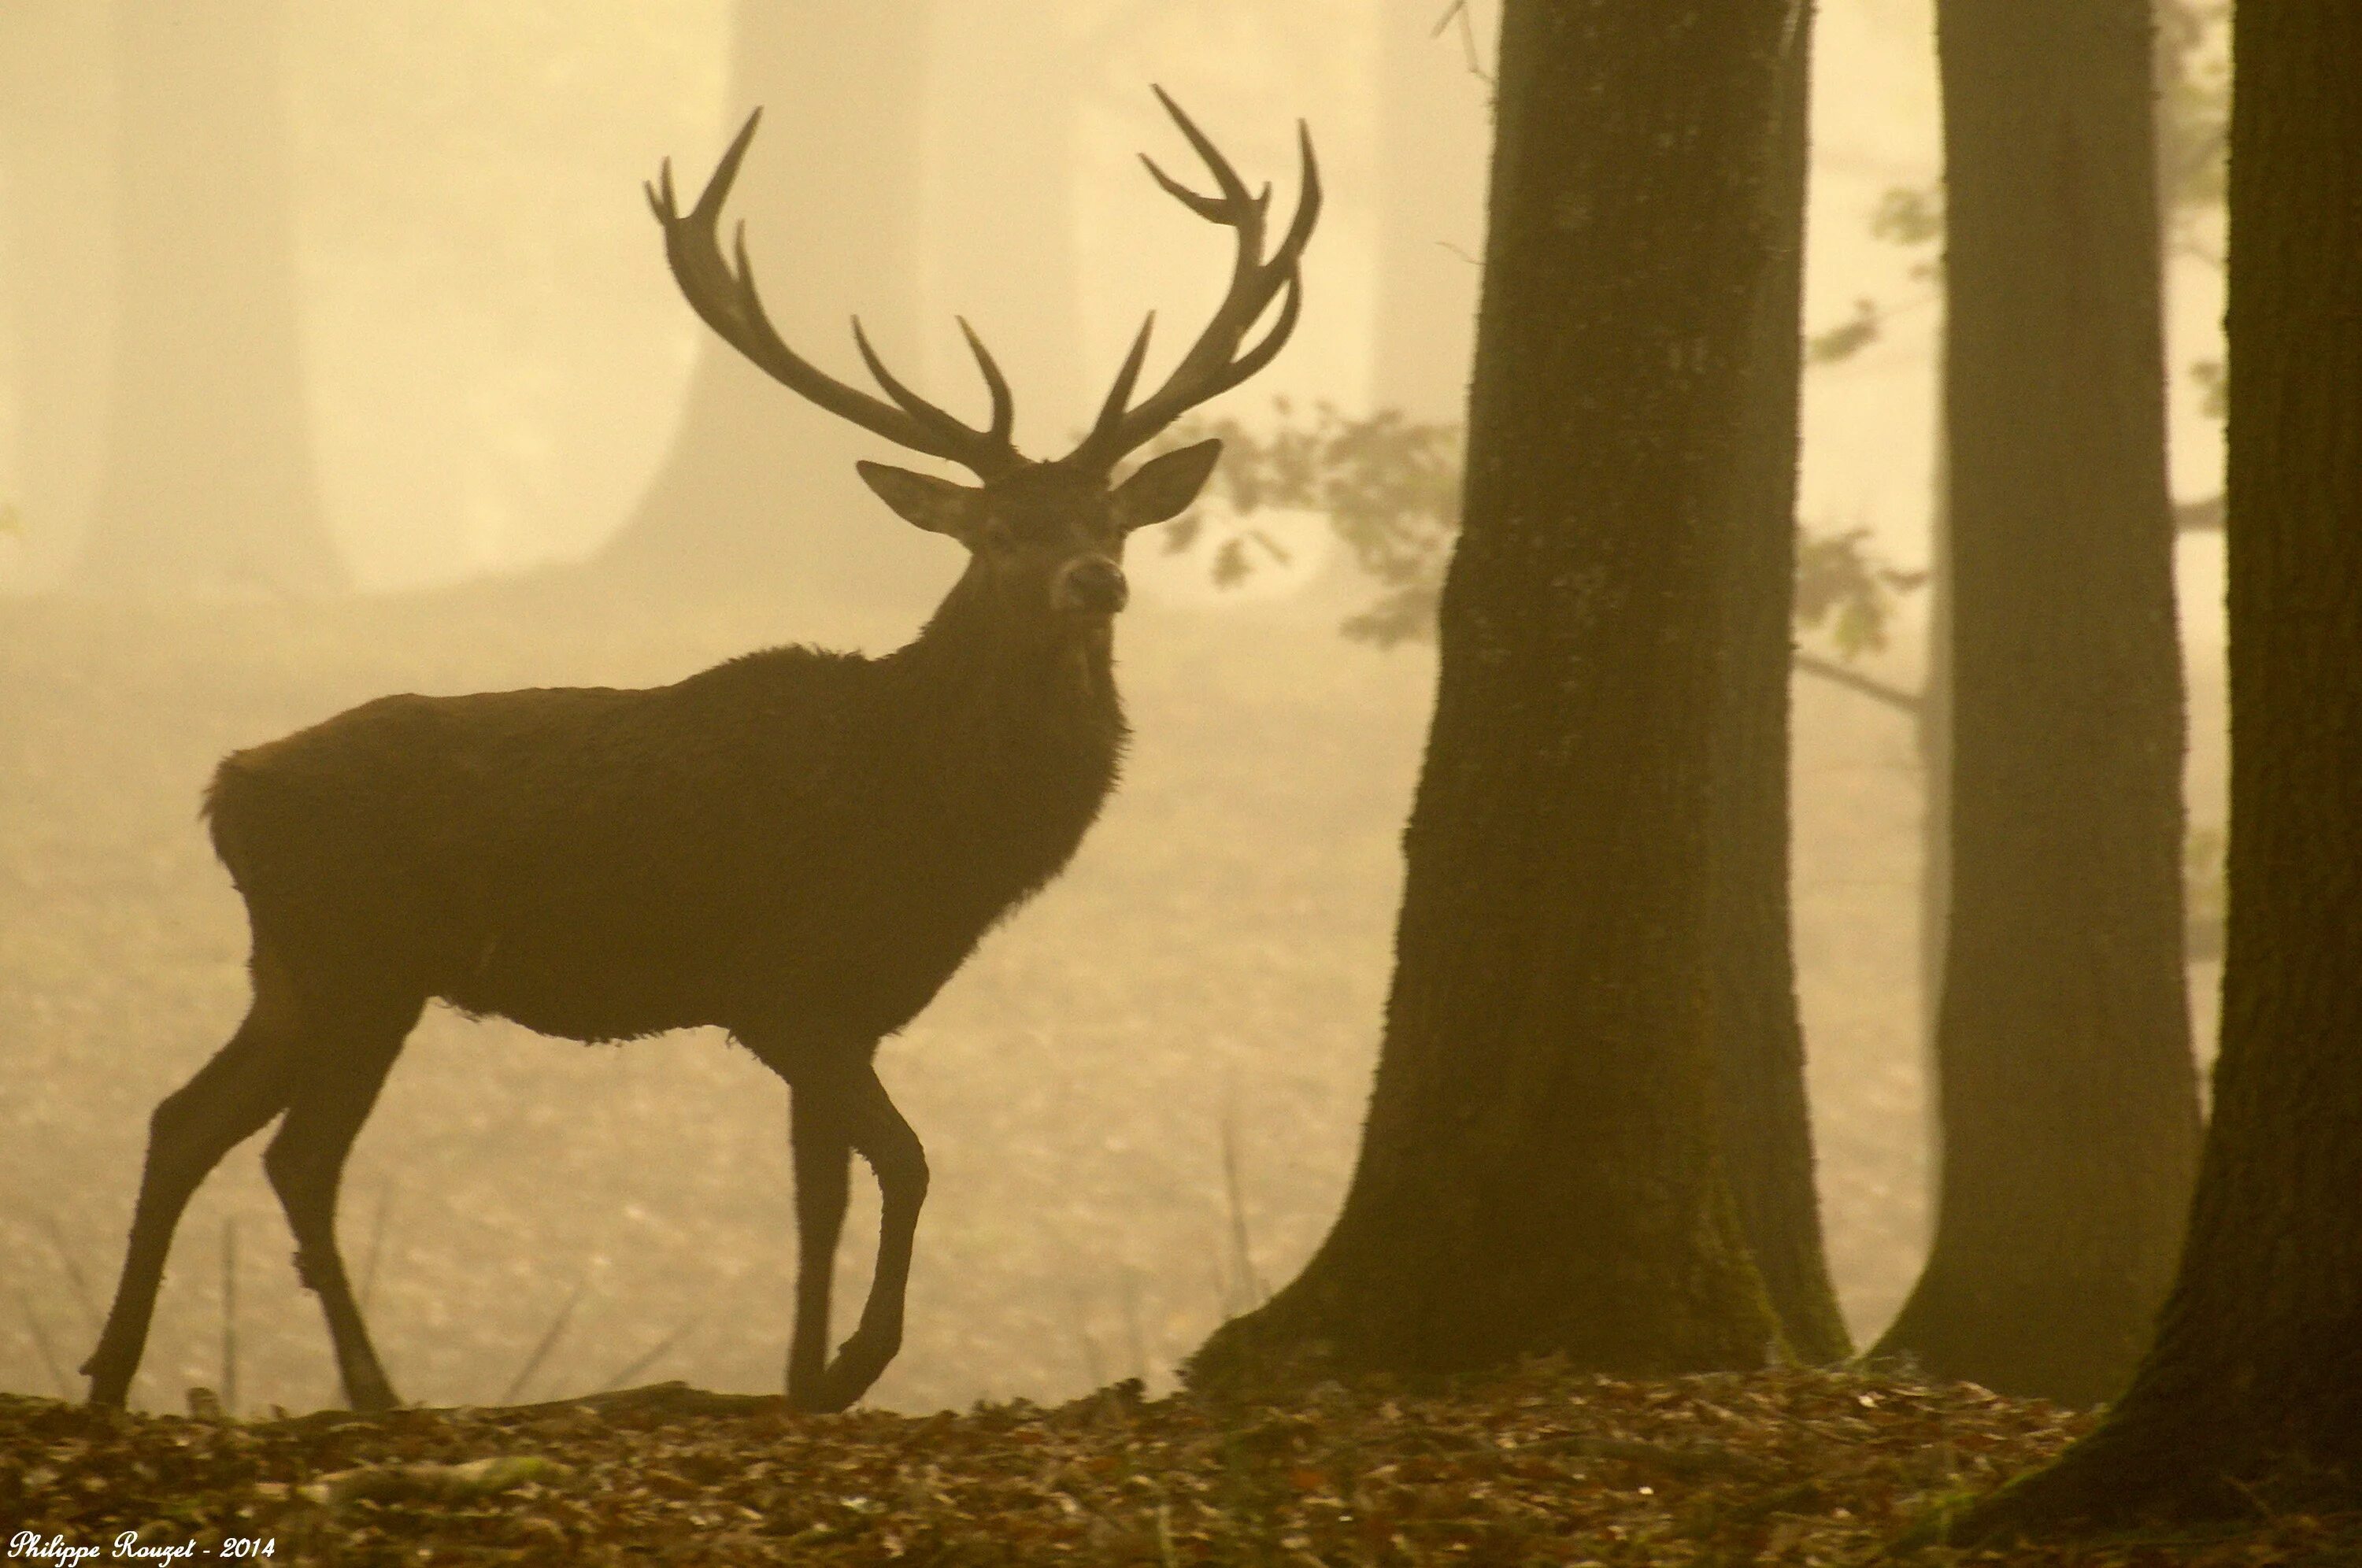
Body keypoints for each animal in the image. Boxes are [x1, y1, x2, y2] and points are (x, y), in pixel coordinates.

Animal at [78, 88, 1313, 1417]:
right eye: (995, 533)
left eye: (1111, 518)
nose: (1096, 580)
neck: (935, 824)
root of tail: (226, 788)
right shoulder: (786, 983)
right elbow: (908, 1164)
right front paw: (854, 1366)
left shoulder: (848, 1013)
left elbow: (821, 1197)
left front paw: (803, 1374)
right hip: (363, 957)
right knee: (297, 1158)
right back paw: (370, 1388)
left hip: (293, 969)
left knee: (183, 1119)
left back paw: (111, 1375)